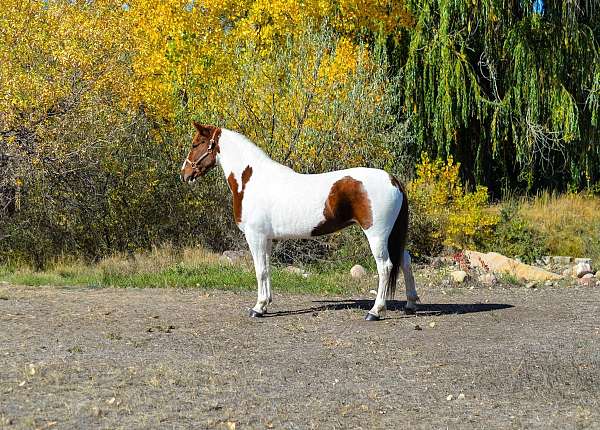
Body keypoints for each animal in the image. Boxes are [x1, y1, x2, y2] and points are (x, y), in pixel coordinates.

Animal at [180, 121, 420, 320]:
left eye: (196, 144)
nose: (184, 173)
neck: (250, 180)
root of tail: (393, 179)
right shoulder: (267, 239)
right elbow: (267, 268)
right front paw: (265, 304)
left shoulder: (255, 236)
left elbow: (260, 270)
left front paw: (257, 308)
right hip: (392, 235)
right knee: (405, 260)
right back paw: (410, 304)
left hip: (377, 235)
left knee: (385, 266)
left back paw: (375, 311)